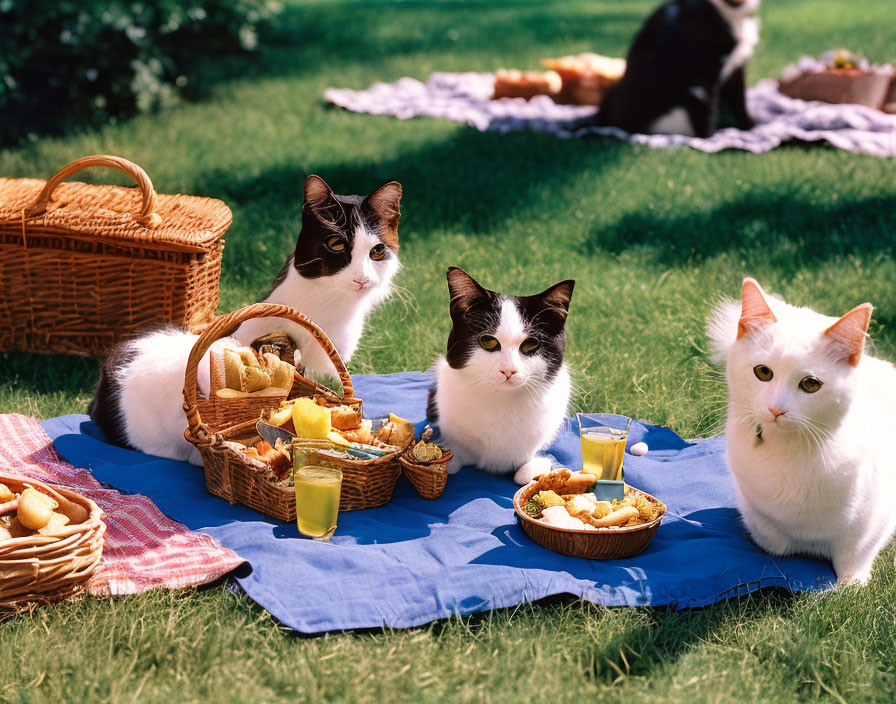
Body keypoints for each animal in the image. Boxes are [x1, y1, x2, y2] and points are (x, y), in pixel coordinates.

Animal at [428, 266, 576, 486]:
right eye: (488, 341)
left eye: (531, 344)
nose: (509, 370)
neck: (501, 399)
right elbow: (452, 460)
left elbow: (525, 473)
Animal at [584, 0, 760, 138]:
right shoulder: (700, 75)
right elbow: (707, 108)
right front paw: (710, 136)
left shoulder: (735, 67)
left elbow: (739, 100)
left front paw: (749, 127)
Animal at [708, 278, 896, 584]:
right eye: (762, 372)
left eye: (811, 384)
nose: (776, 410)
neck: (789, 450)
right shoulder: (752, 506)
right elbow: (773, 540)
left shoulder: (874, 519)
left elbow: (854, 554)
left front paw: (852, 584)